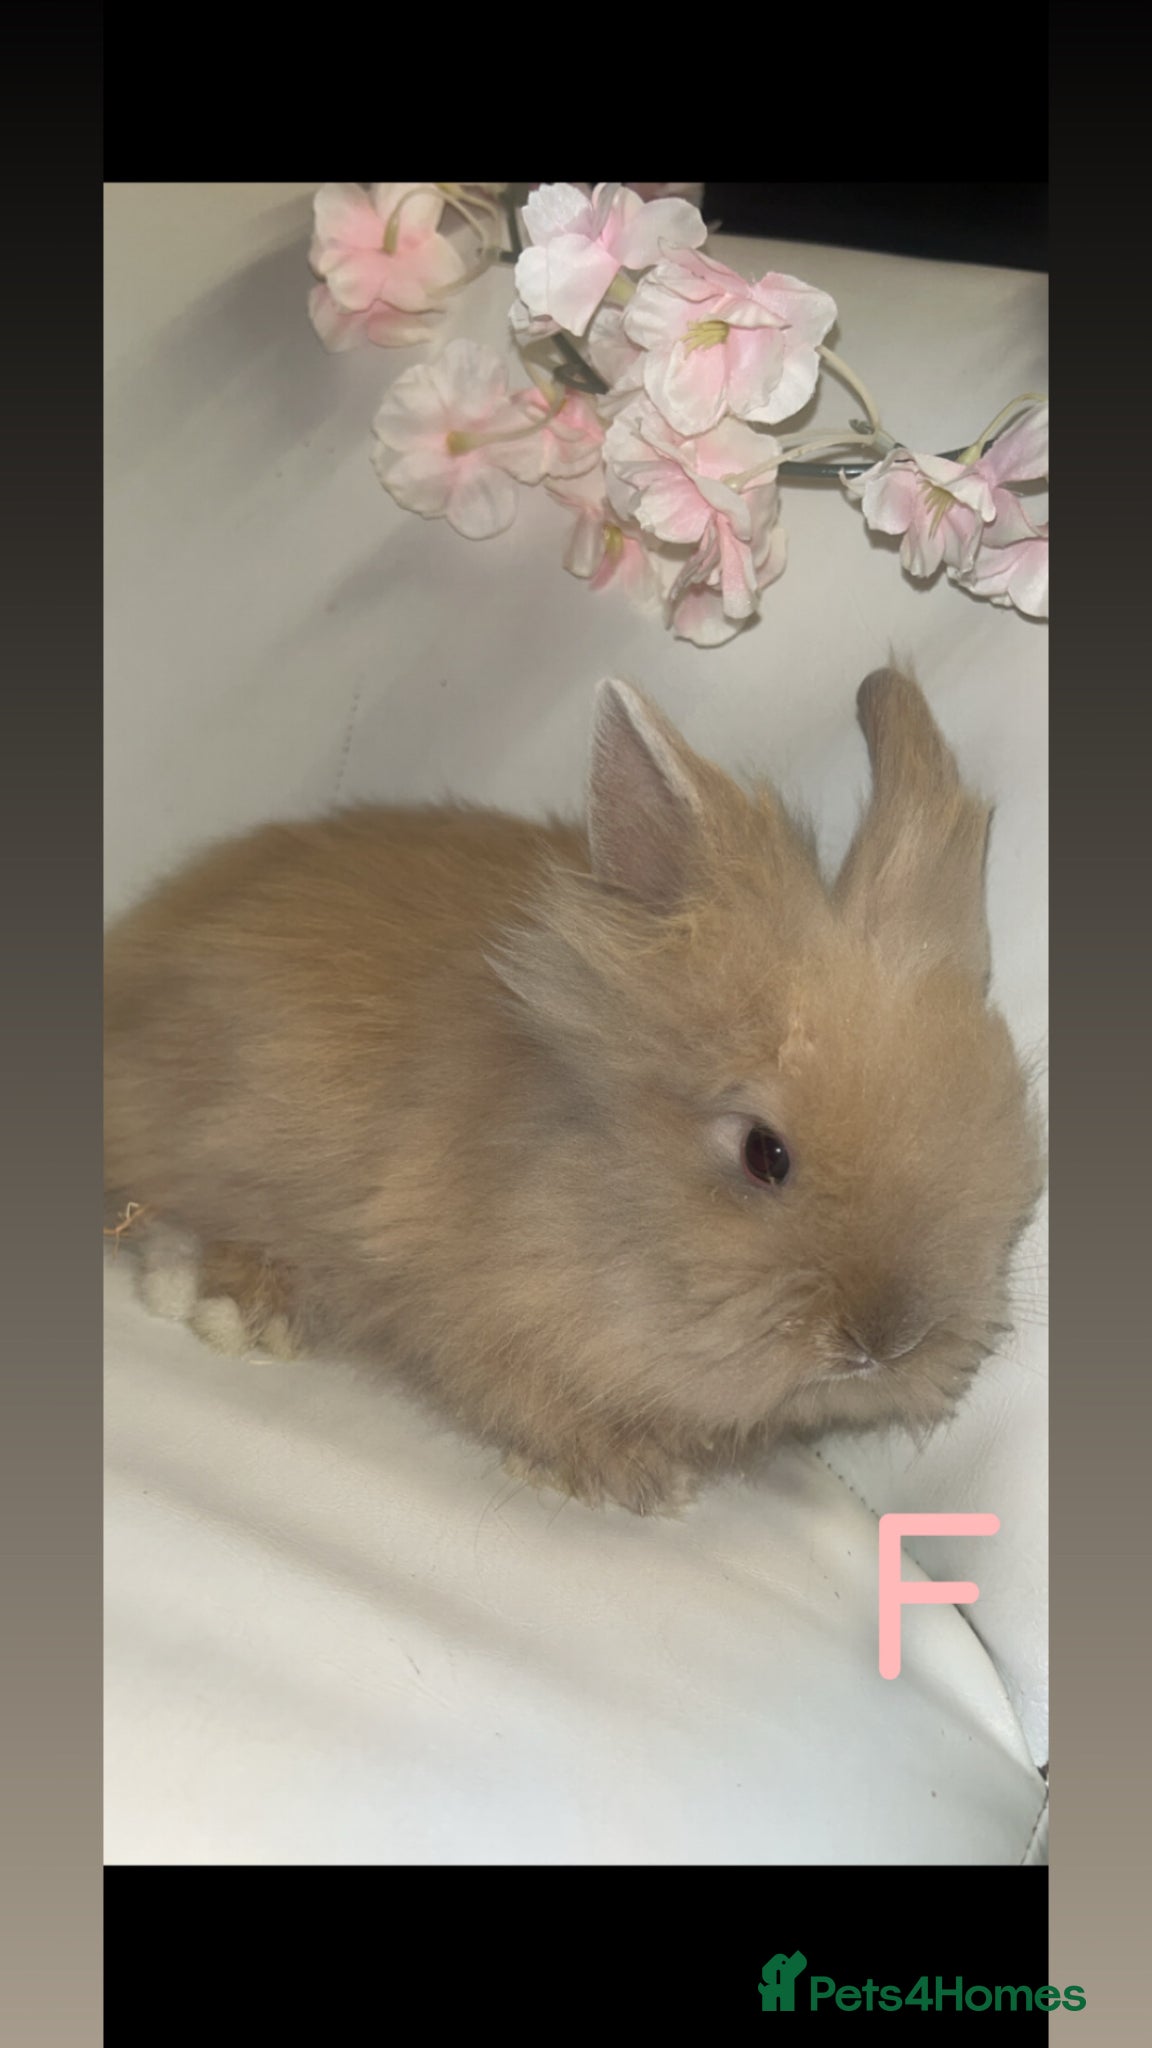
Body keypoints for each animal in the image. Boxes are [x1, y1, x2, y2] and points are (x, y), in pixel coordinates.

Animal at [104, 666, 1044, 1515]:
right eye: (764, 1153)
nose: (886, 1343)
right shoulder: (462, 1311)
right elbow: (516, 1391)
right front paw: (625, 1476)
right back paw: (233, 1303)